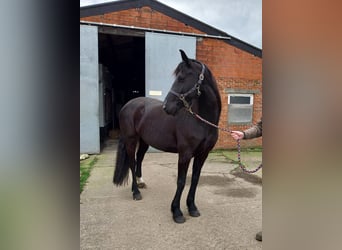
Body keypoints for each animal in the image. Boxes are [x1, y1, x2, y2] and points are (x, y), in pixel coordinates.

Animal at [113, 49, 222, 223]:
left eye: (181, 78)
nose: (166, 107)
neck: (201, 122)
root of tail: (128, 105)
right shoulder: (185, 154)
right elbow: (181, 181)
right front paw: (176, 211)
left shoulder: (202, 154)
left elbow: (195, 179)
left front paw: (192, 207)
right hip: (131, 140)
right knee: (131, 161)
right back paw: (136, 192)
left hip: (144, 141)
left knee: (139, 159)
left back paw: (141, 182)